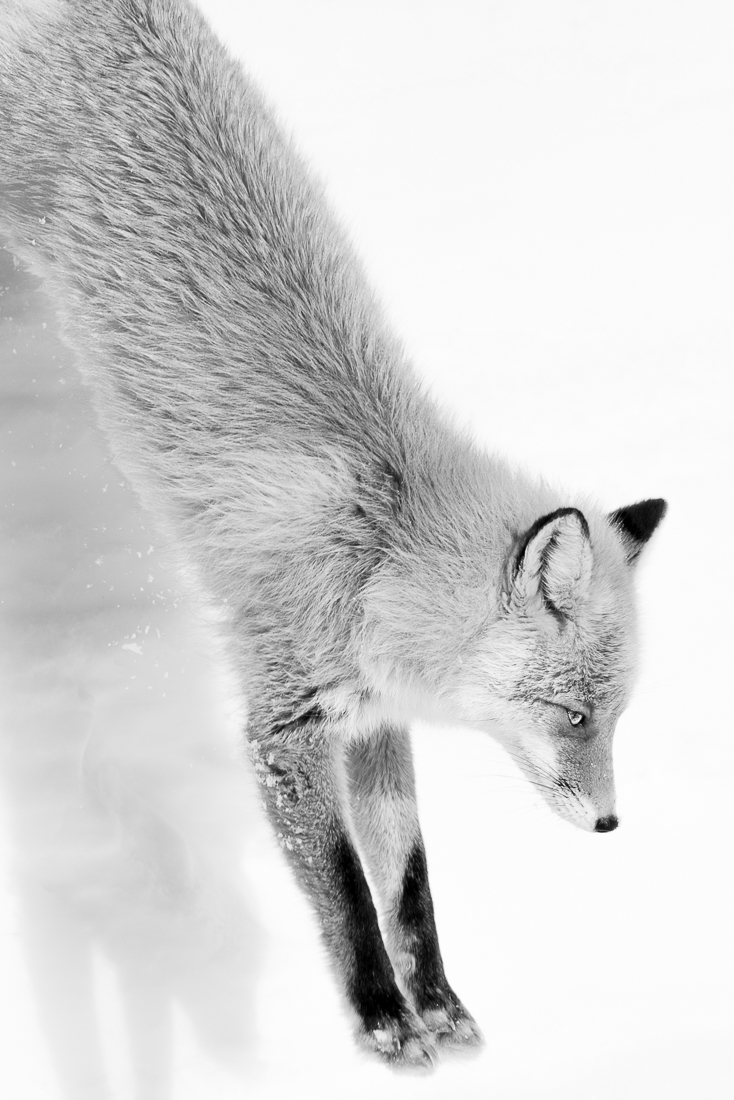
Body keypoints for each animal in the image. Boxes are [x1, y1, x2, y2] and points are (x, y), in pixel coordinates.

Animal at [0, 0, 666, 1070]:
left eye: (615, 717)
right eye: (572, 716)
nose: (610, 824)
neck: (379, 543)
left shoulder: (373, 718)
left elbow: (410, 878)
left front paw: (437, 1004)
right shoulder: (286, 724)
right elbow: (348, 890)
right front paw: (384, 1021)